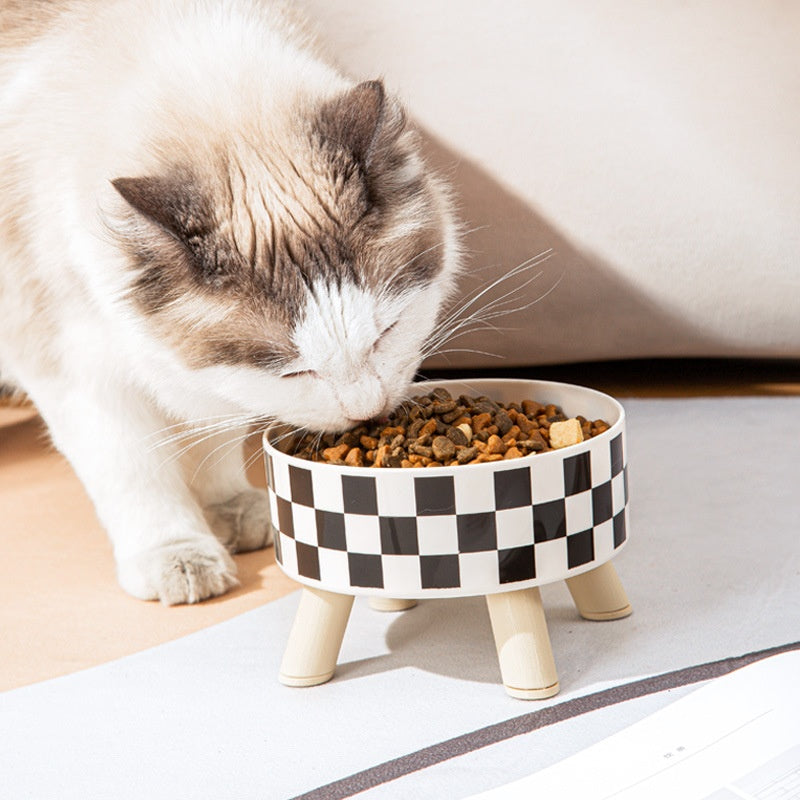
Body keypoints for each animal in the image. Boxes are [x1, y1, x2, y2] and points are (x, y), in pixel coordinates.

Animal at [0, 0, 460, 600]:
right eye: (294, 370)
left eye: (387, 332)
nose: (367, 411)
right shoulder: (77, 369)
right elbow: (135, 472)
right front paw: (181, 559)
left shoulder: (208, 380)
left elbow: (213, 437)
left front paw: (233, 514)